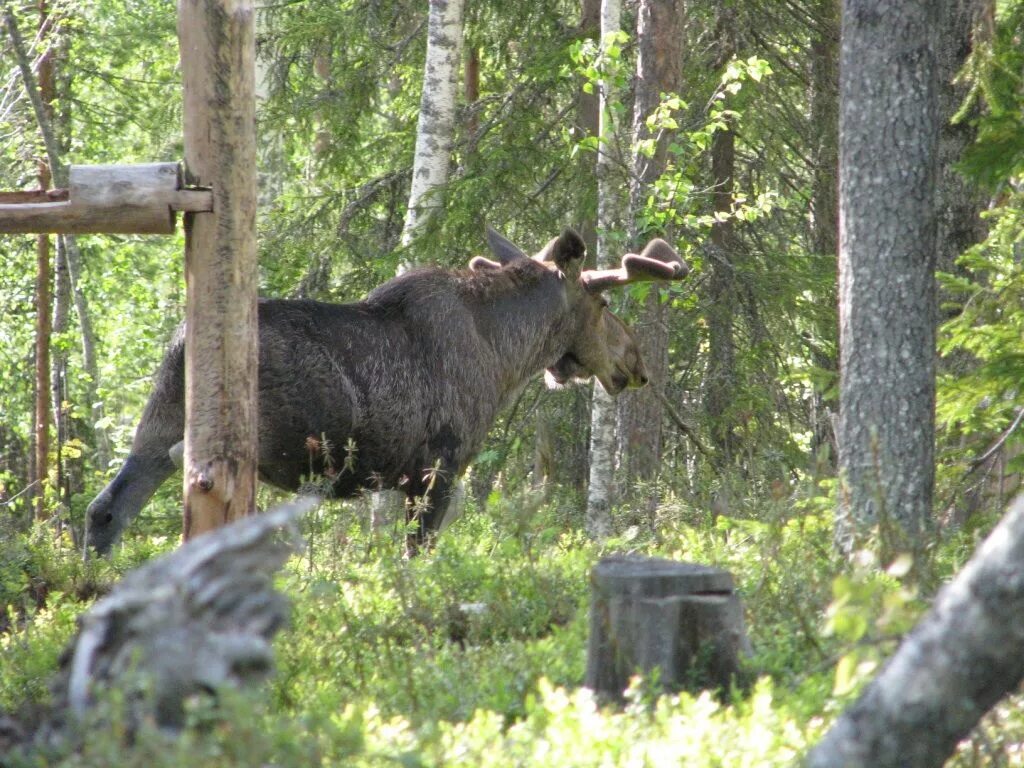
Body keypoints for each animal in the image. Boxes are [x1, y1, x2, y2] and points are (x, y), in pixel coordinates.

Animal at [88, 228, 688, 552]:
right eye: (604, 303)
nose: (635, 363)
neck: (505, 356)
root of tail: (184, 342)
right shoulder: (439, 465)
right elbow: (416, 553)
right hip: (253, 445)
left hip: (153, 422)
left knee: (107, 507)